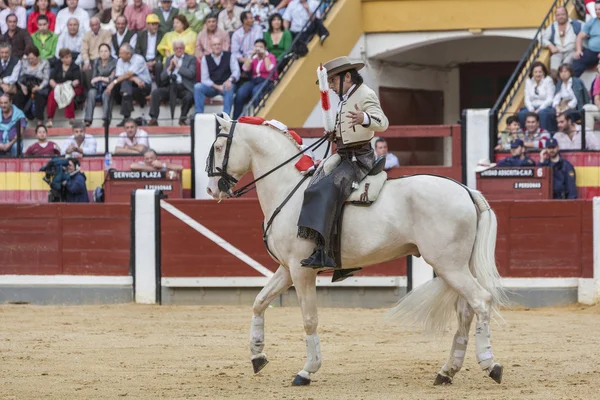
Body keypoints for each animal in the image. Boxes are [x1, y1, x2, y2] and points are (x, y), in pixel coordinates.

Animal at [206, 115, 506, 388]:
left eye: (219, 147)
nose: (210, 190)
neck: (288, 188)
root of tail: (466, 190)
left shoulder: (302, 271)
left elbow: (309, 319)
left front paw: (307, 371)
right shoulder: (287, 269)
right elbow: (259, 301)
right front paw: (257, 356)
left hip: (449, 266)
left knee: (481, 301)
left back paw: (490, 364)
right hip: (456, 267)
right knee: (465, 311)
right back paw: (447, 371)